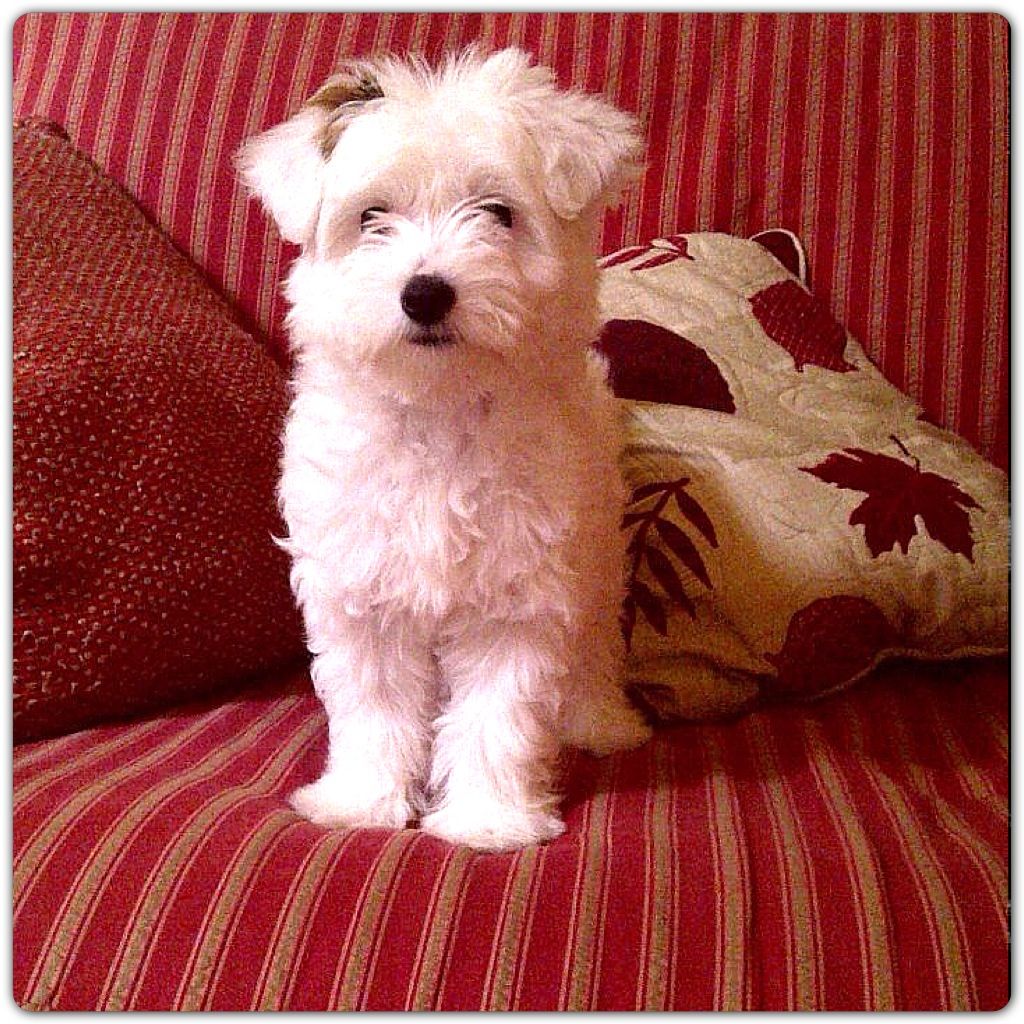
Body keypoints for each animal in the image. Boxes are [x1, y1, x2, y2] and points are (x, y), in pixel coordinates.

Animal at [236, 47, 652, 850]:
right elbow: (374, 705)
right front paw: (363, 800)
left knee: (593, 640)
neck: (438, 408)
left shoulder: (521, 595)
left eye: (496, 212)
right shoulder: (362, 587)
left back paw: (599, 723)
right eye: (371, 218)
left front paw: (489, 819)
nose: (424, 293)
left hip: (595, 548)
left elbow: (498, 713)